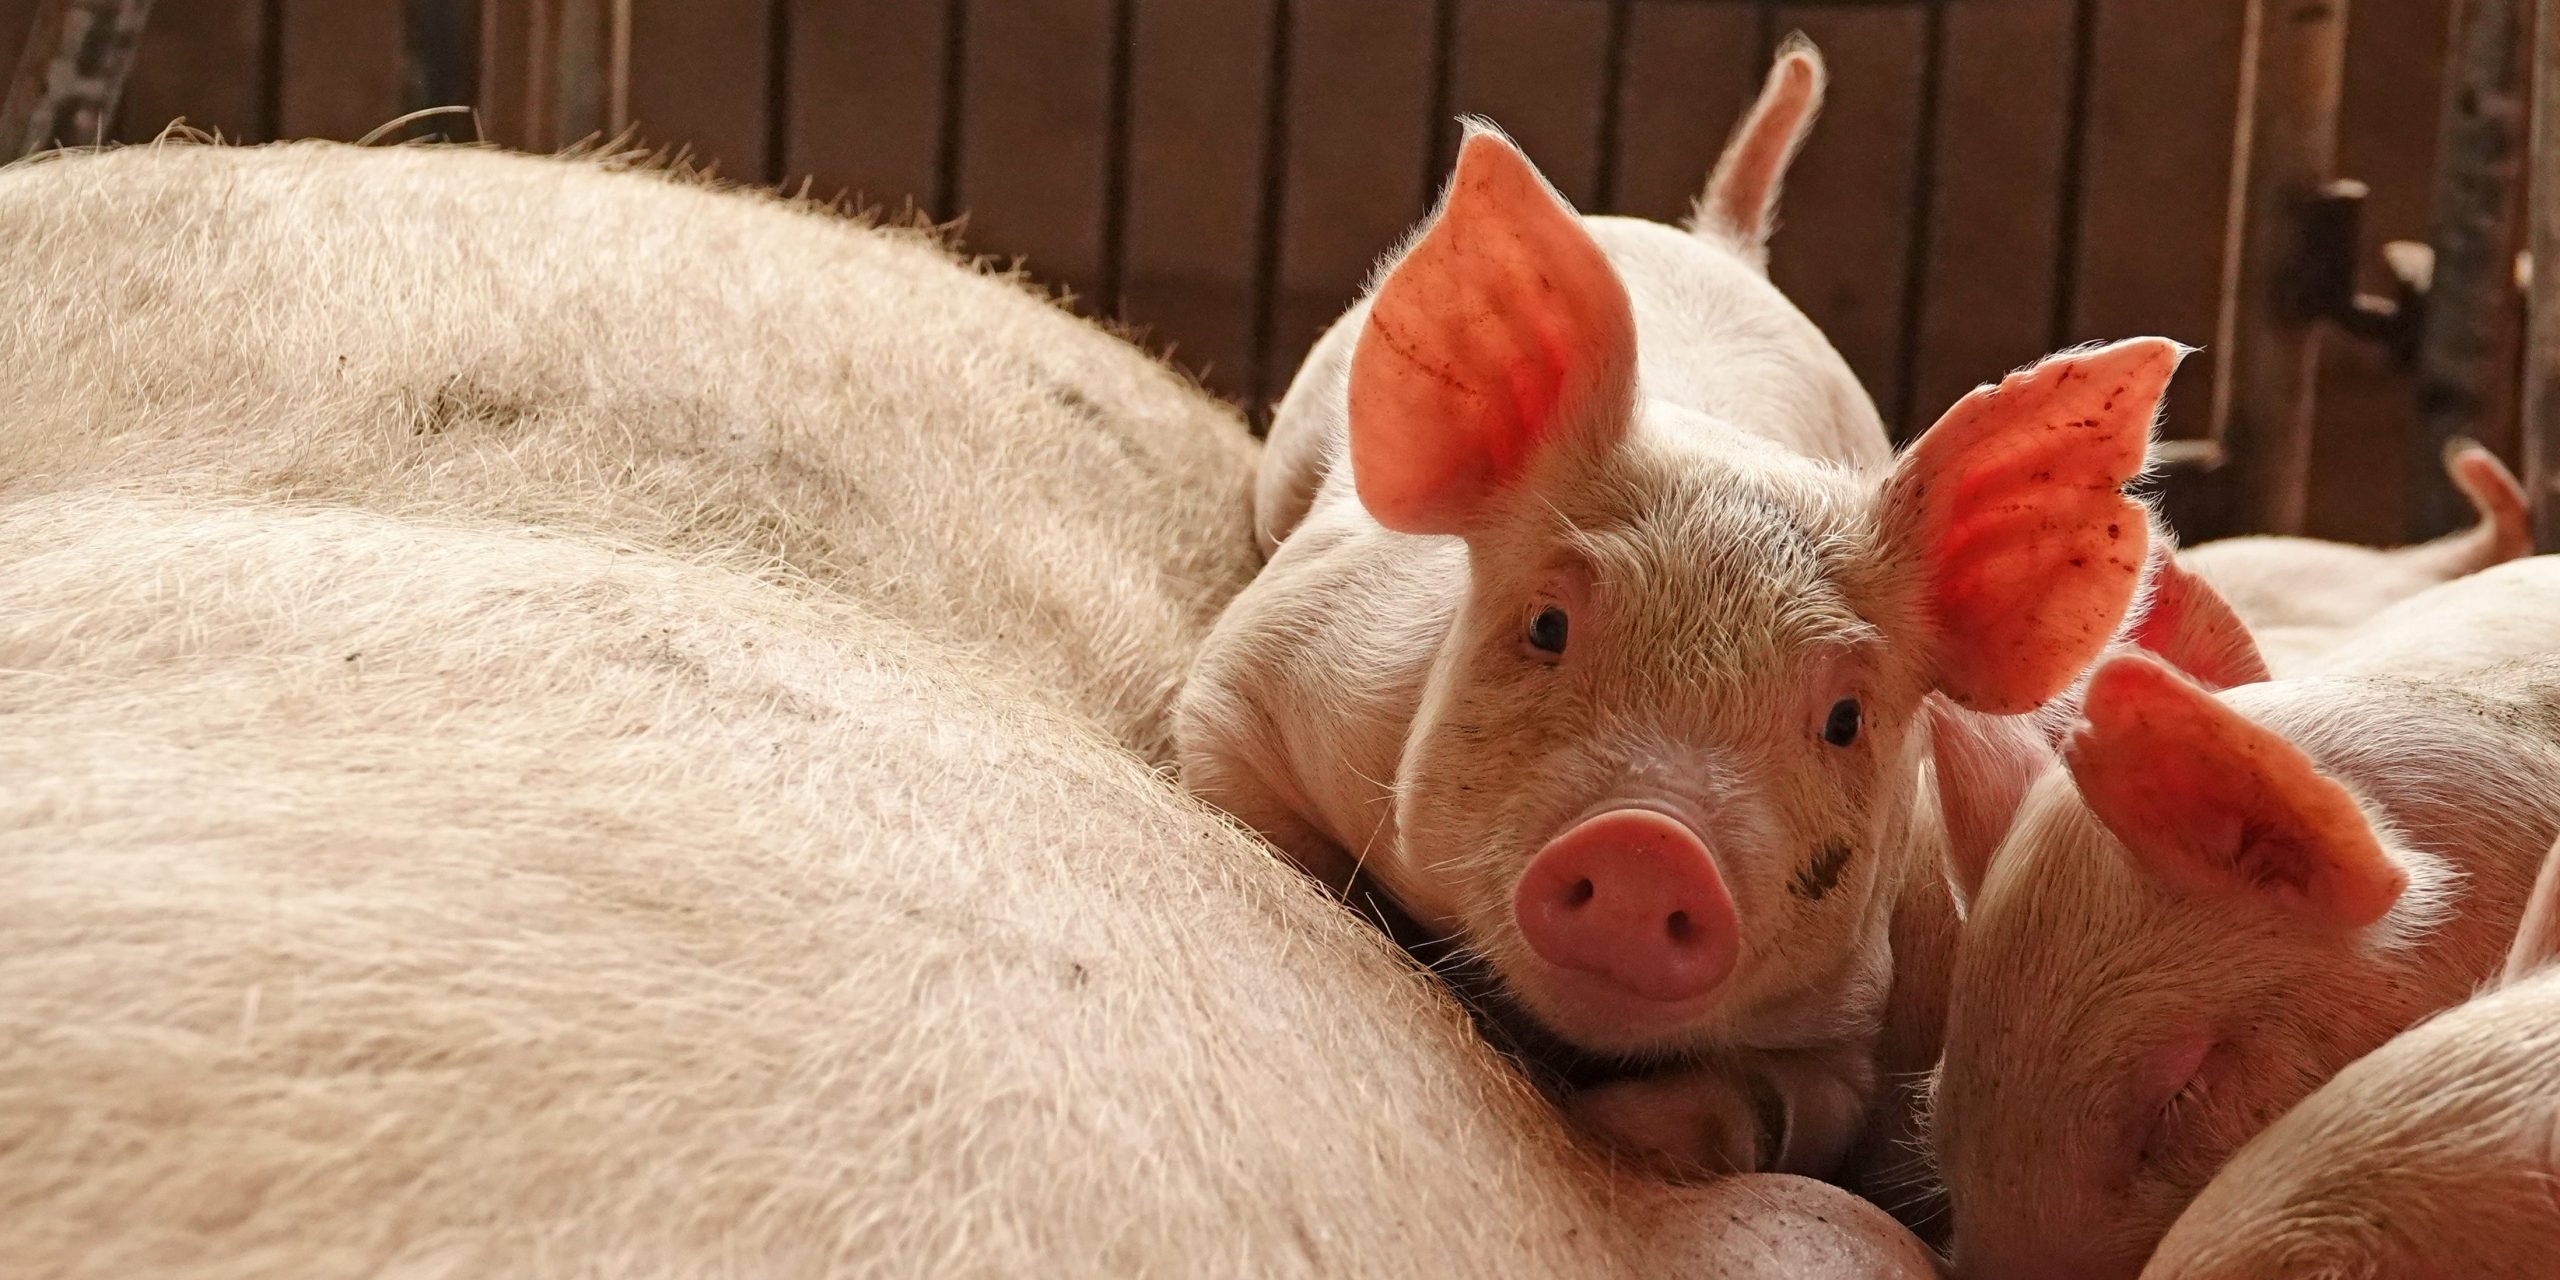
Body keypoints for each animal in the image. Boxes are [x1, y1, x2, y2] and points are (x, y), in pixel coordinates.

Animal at [1177, 40, 2181, 1177]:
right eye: (1548, 625)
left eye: (1846, 719)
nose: (1646, 843)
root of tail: (1723, 242)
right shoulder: (1262, 673)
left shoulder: (1848, 1017)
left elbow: (1795, 1106)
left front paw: (1635, 1127)